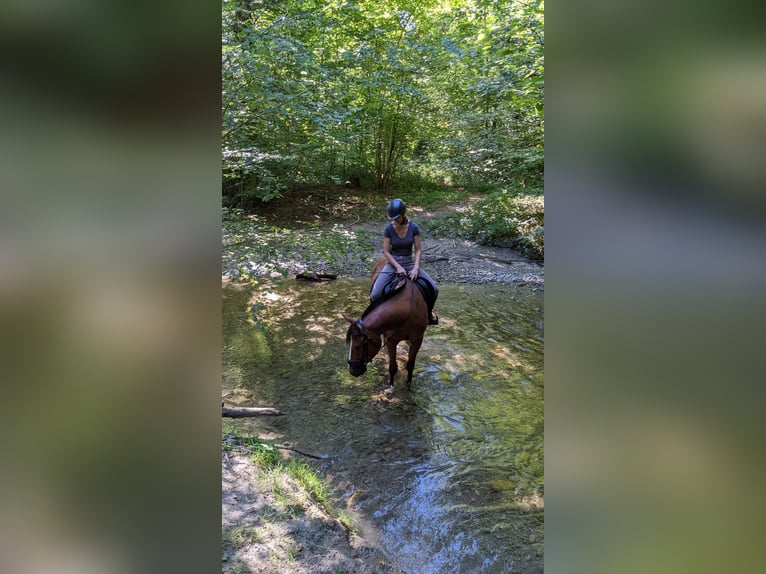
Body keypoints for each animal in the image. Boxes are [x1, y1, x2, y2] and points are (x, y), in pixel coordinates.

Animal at [344, 258, 428, 390]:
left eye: (359, 345)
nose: (352, 371)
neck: (407, 309)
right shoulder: (391, 340)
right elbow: (393, 367)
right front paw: (391, 388)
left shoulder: (417, 339)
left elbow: (410, 365)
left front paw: (408, 385)